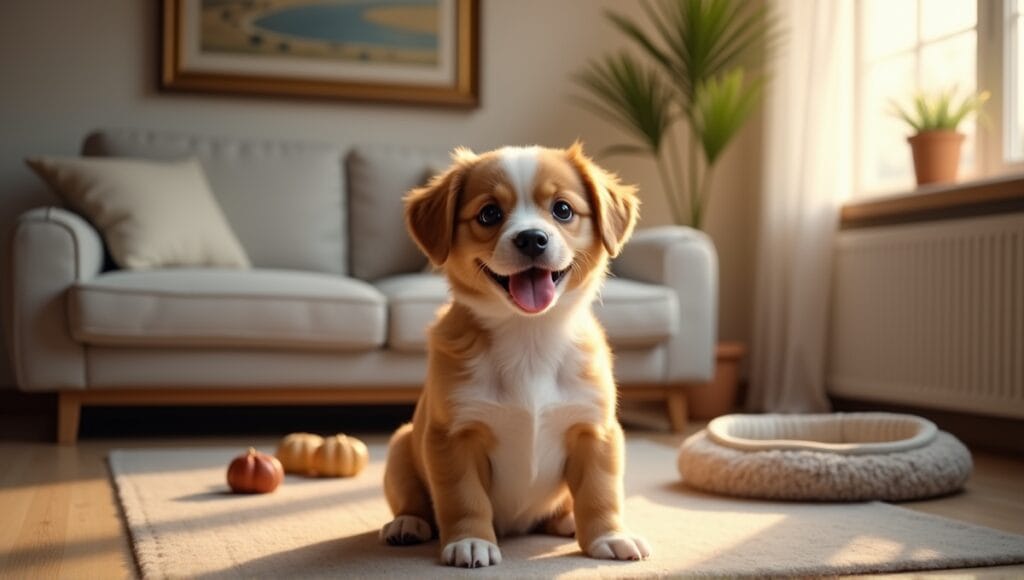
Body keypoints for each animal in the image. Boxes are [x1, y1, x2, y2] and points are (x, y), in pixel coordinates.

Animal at [380, 143, 651, 569]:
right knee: (412, 501)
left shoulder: (596, 431)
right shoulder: (452, 436)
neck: (530, 339)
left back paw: (566, 521)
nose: (532, 239)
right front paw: (470, 541)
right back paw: (407, 523)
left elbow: (600, 493)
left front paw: (608, 536)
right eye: (489, 213)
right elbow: (463, 498)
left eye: (563, 209)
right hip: (400, 446)